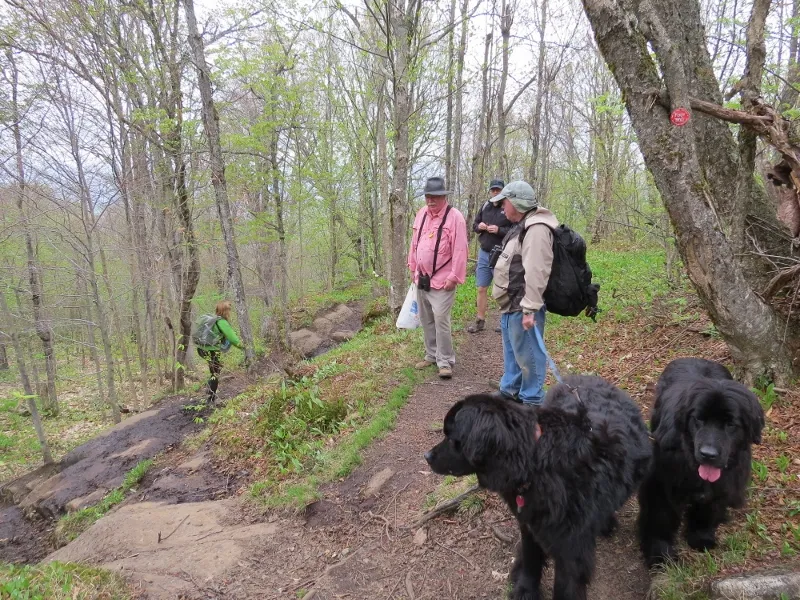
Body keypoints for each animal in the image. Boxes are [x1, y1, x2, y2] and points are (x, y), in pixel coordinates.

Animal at [424, 376, 648, 600]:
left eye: (451, 438)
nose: (427, 456)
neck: (534, 463)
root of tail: (589, 377)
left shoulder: (571, 547)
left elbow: (565, 585)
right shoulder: (530, 522)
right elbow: (531, 558)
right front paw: (525, 589)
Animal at [636, 358, 764, 568]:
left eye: (730, 424)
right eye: (698, 419)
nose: (708, 454)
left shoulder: (722, 484)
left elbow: (708, 508)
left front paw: (701, 537)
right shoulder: (660, 483)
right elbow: (660, 516)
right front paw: (660, 554)